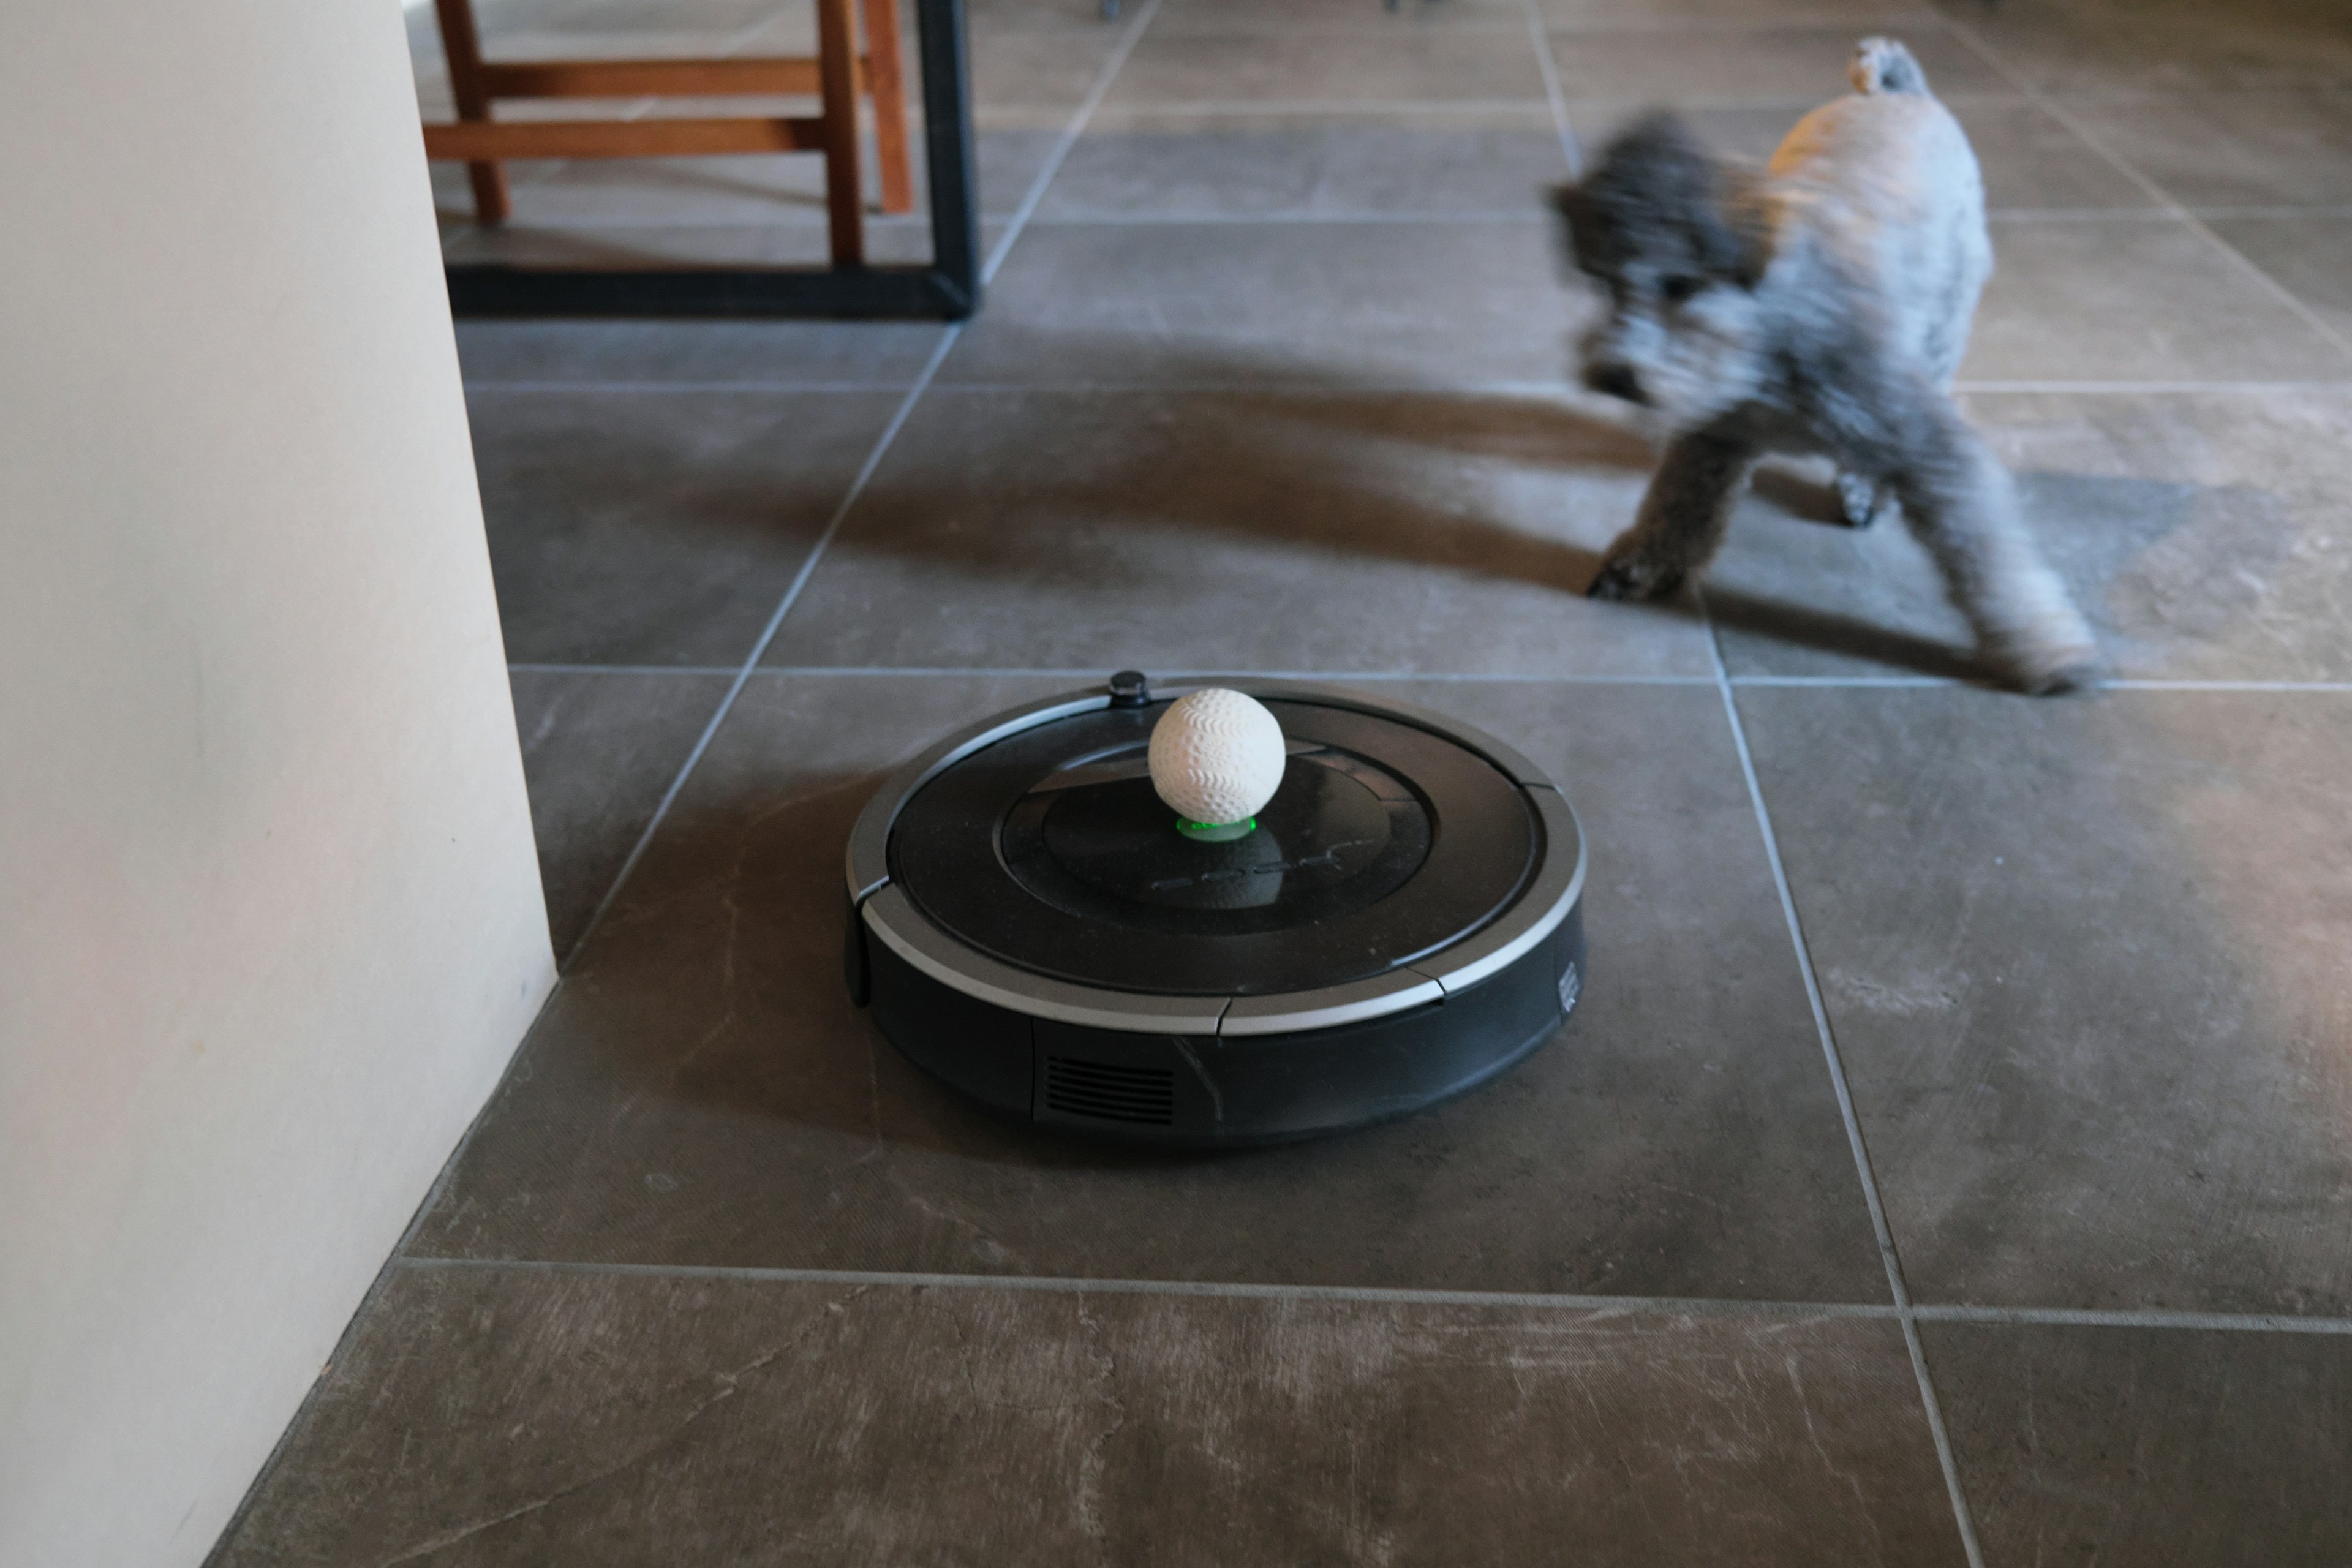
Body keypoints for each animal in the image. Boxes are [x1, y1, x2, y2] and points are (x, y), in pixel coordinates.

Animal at [1561, 35, 2098, 691]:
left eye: (1680, 283)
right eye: (1606, 284)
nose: (1615, 375)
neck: (1763, 342)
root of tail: (1902, 92)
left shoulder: (1924, 440)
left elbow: (1988, 554)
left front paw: (2049, 650)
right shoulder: (1711, 440)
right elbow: (1675, 509)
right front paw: (1640, 566)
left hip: (1940, 332)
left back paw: (1867, 490)